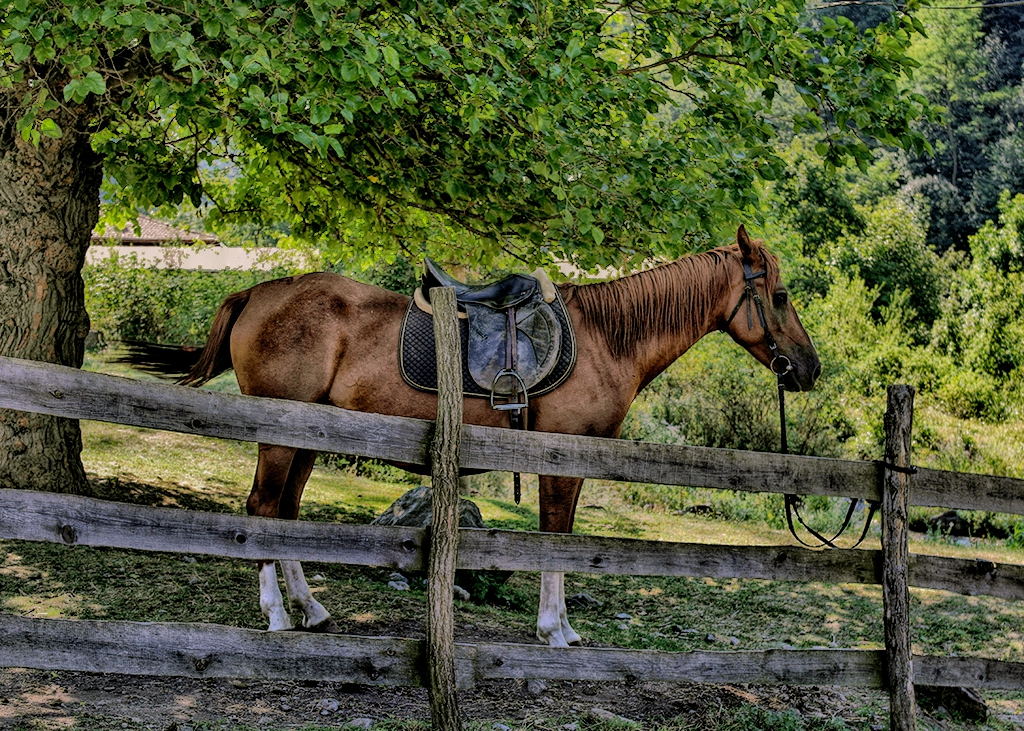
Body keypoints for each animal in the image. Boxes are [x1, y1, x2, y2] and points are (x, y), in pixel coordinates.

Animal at [182, 226, 815, 642]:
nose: (809, 368)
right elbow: (554, 539)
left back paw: (310, 609)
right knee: (263, 508)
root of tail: (262, 291)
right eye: (780, 296)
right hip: (279, 436)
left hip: (310, 439)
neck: (608, 340)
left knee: (286, 513)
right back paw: (276, 614)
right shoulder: (559, 461)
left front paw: (560, 626)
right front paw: (554, 629)